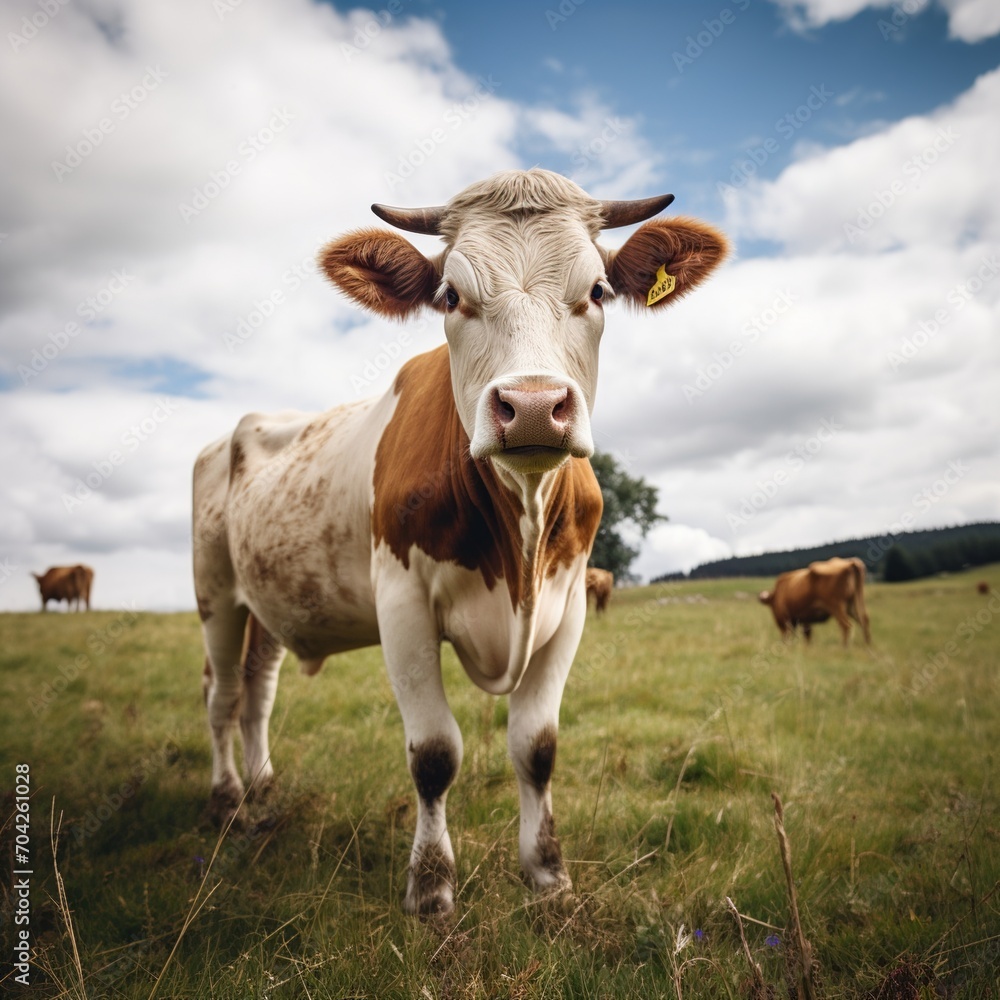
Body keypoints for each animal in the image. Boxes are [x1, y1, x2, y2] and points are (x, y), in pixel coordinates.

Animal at [193, 170, 728, 916]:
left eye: (597, 291)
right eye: (450, 296)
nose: (532, 406)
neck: (519, 530)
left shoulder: (569, 606)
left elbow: (537, 746)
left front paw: (547, 874)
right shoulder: (402, 604)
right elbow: (435, 753)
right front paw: (431, 886)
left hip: (271, 601)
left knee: (256, 689)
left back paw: (264, 788)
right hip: (216, 592)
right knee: (221, 695)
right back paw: (226, 802)